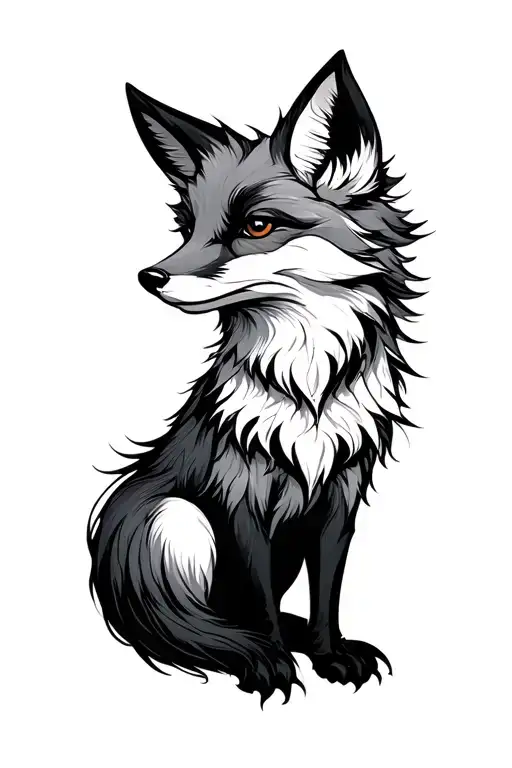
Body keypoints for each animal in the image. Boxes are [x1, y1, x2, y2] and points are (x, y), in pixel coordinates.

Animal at [88, 50, 424, 704]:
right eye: (187, 227)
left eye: (258, 227)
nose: (150, 277)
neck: (307, 385)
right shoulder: (239, 496)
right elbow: (260, 604)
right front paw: (272, 662)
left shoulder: (338, 498)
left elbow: (326, 596)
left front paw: (328, 654)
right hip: (175, 518)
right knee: (186, 625)